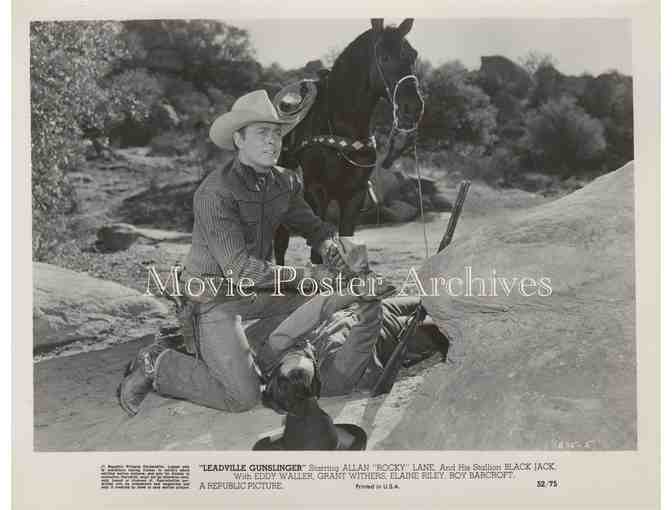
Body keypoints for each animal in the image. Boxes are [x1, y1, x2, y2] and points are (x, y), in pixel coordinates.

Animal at [274, 16, 422, 262]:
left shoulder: (355, 195)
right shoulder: (316, 192)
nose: (413, 107)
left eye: (412, 55)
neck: (342, 127)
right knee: (280, 242)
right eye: (384, 57)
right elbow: (318, 254)